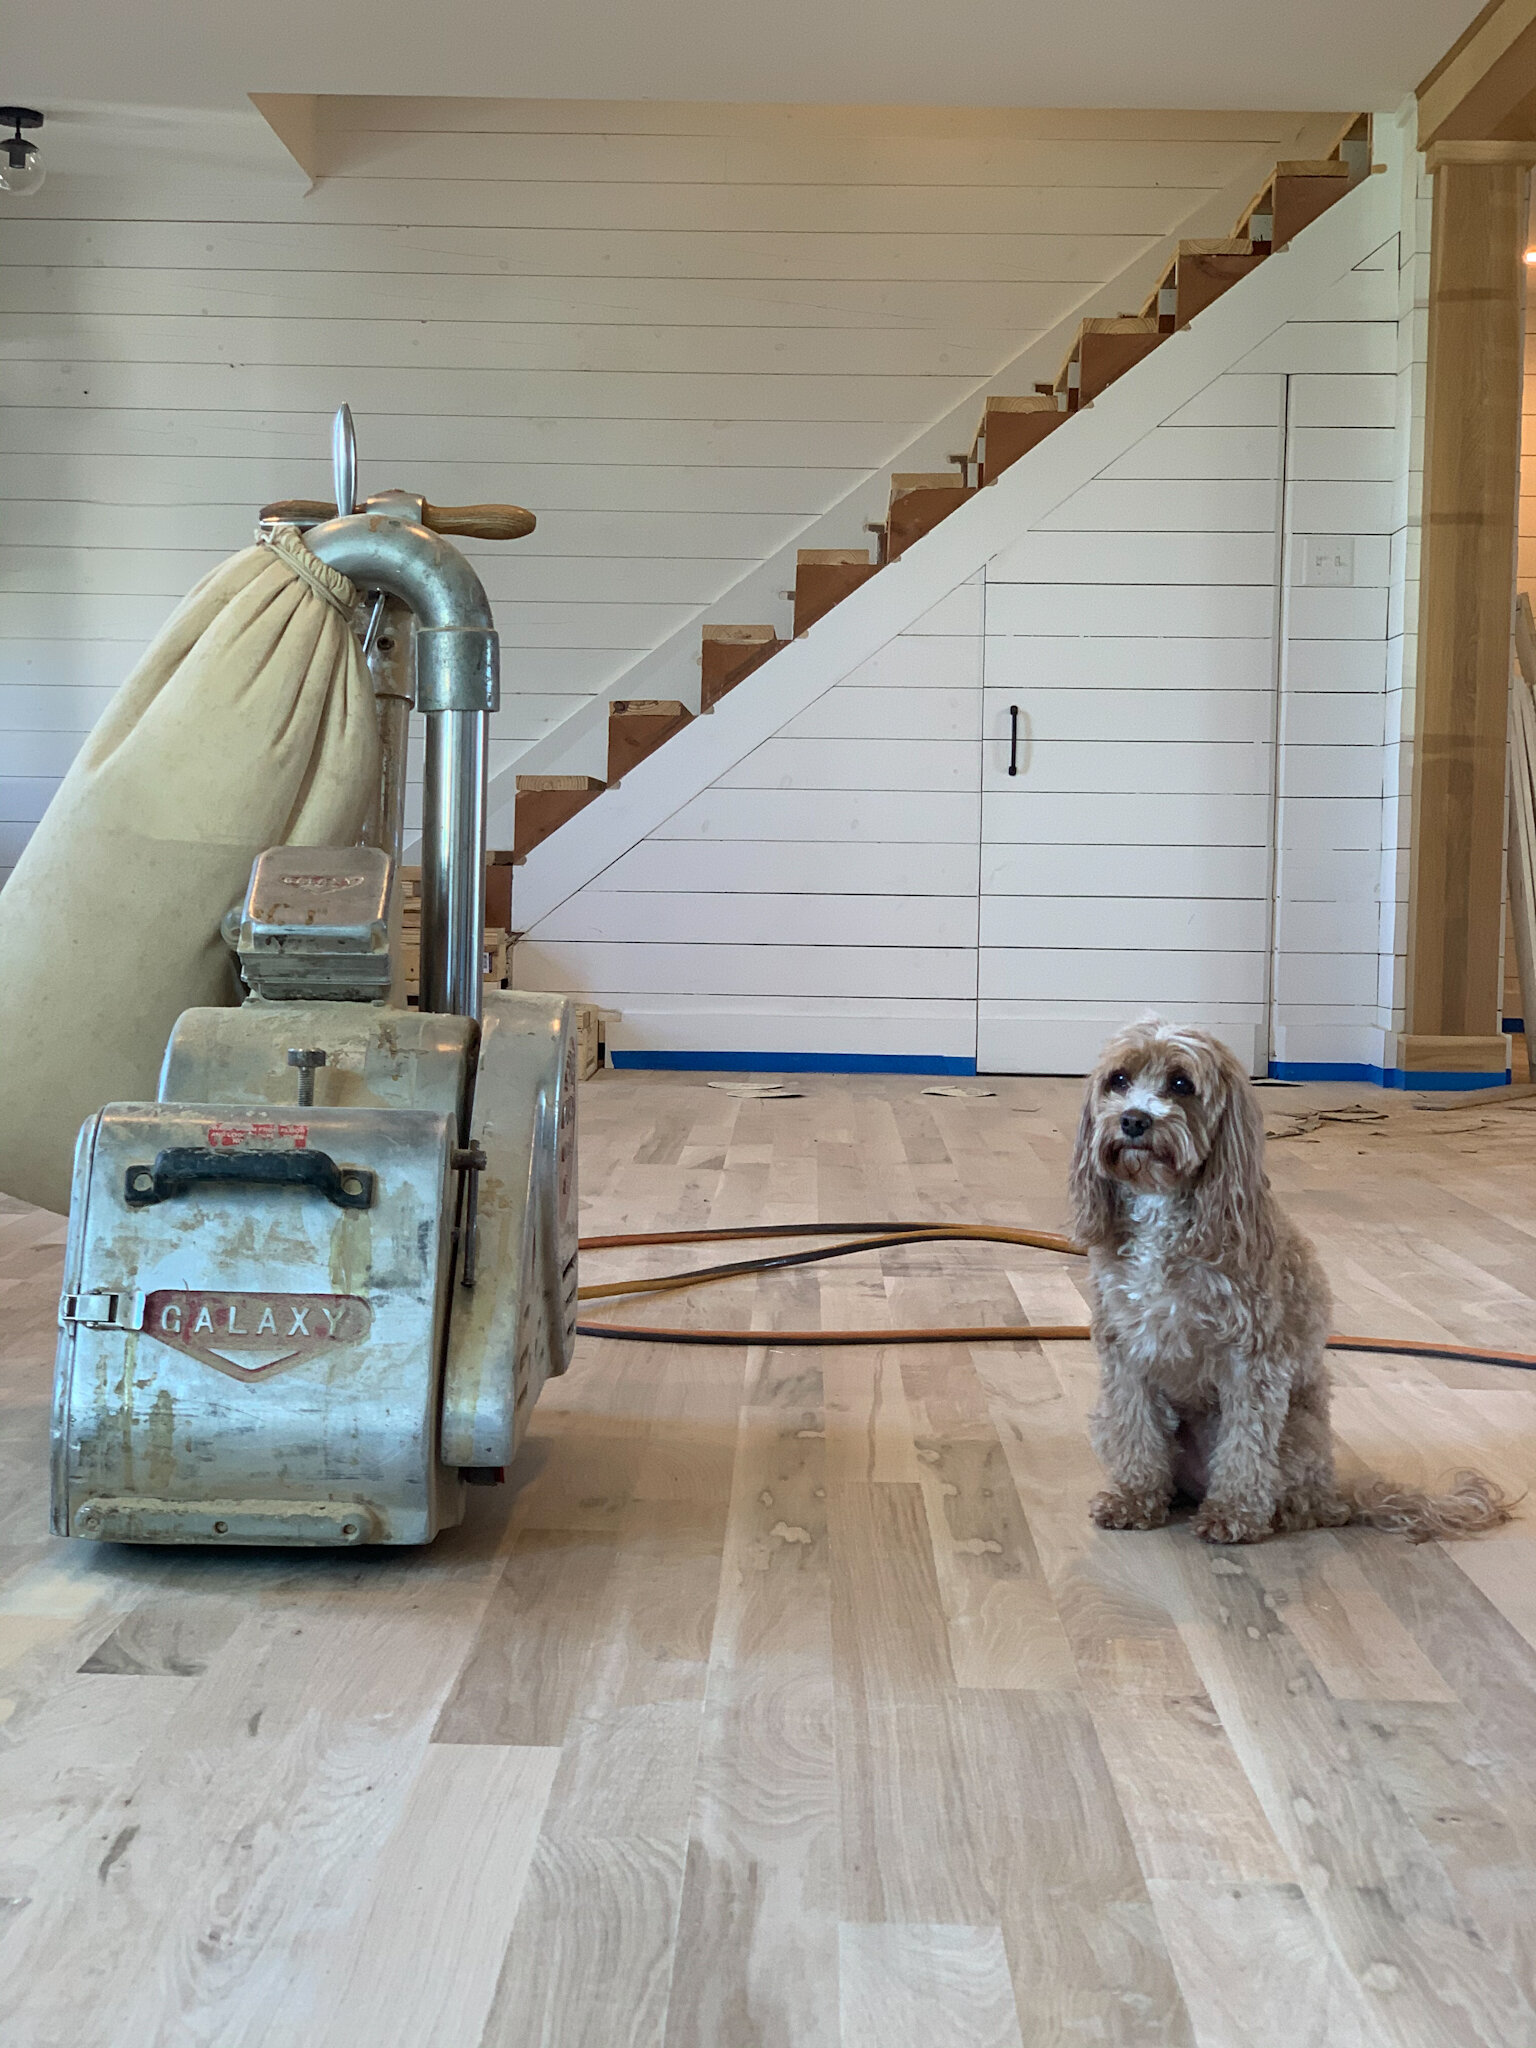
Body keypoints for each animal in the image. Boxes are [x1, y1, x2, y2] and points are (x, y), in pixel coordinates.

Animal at [1073, 1015, 1515, 1540]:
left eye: (1181, 1084)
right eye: (1118, 1080)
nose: (1134, 1120)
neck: (1165, 1210)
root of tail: (1334, 1491)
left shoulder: (1253, 1357)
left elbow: (1246, 1444)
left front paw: (1234, 1514)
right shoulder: (1126, 1351)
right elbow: (1136, 1431)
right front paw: (1134, 1499)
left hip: (1296, 1432)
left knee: (1294, 1495)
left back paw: (1272, 1510)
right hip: (1113, 1419)